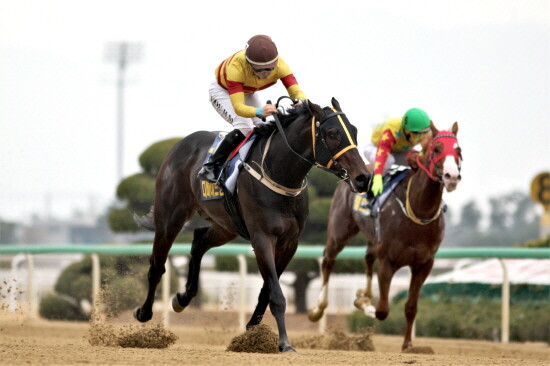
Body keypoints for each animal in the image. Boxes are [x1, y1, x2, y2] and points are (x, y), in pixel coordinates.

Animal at [135, 98, 370, 354]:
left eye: (354, 131)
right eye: (332, 133)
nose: (363, 178)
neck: (280, 173)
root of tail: (180, 144)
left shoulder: (290, 243)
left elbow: (267, 291)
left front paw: (252, 333)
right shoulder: (262, 238)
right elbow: (276, 293)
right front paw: (284, 343)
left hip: (226, 226)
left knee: (198, 241)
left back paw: (183, 298)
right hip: (170, 217)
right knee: (157, 265)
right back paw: (144, 313)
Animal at [308, 121, 464, 350]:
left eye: (459, 151)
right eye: (437, 149)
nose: (451, 176)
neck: (417, 211)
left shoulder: (424, 264)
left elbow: (411, 307)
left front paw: (407, 344)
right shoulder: (388, 261)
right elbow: (382, 310)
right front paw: (365, 305)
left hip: (374, 239)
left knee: (367, 258)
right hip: (340, 230)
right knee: (328, 260)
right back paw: (318, 308)